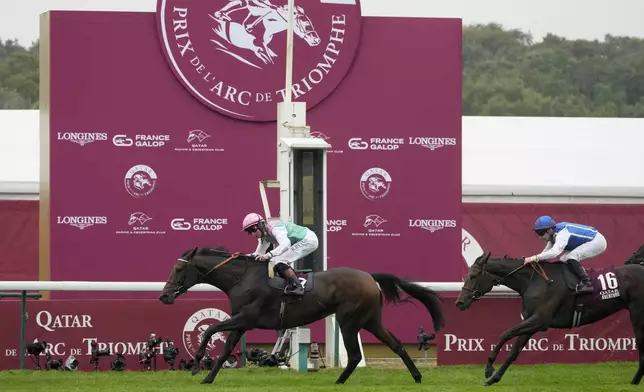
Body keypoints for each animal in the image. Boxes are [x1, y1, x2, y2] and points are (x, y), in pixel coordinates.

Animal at [158, 247, 446, 384]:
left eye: (179, 270)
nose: (164, 296)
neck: (242, 278)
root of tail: (369, 276)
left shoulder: (245, 318)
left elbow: (209, 330)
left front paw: (196, 366)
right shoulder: (240, 323)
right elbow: (225, 349)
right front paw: (207, 378)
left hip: (349, 320)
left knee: (354, 355)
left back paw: (338, 382)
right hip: (371, 320)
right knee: (396, 344)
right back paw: (417, 377)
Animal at [456, 245, 644, 386]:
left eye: (473, 276)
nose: (460, 302)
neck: (534, 281)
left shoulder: (540, 320)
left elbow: (506, 333)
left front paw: (489, 369)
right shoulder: (530, 322)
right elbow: (514, 352)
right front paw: (493, 378)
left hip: (637, 314)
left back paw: (635, 381)